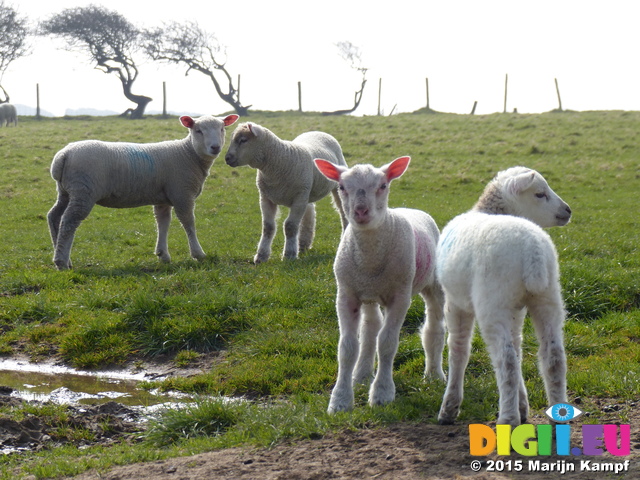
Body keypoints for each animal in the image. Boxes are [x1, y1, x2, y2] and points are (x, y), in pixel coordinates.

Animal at [46, 113, 238, 270]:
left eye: (222, 128)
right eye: (198, 131)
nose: (215, 147)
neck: (188, 153)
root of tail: (63, 155)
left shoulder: (163, 198)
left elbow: (163, 222)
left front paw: (163, 255)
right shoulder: (182, 193)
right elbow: (188, 222)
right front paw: (198, 254)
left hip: (66, 191)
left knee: (54, 216)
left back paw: (62, 257)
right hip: (83, 192)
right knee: (68, 222)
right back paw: (61, 262)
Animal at [224, 120, 348, 262]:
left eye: (243, 140)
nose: (227, 158)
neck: (280, 162)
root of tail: (318, 131)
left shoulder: (299, 198)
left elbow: (290, 226)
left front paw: (289, 255)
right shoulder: (266, 197)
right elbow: (268, 227)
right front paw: (261, 256)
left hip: (330, 187)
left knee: (343, 213)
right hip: (306, 190)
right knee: (310, 211)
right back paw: (303, 243)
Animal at [314, 157, 444, 412]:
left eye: (383, 185)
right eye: (342, 187)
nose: (360, 211)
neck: (370, 257)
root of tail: (409, 209)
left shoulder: (400, 296)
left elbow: (387, 343)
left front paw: (382, 393)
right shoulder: (346, 295)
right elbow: (347, 347)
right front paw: (340, 399)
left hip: (432, 284)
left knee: (435, 327)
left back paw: (434, 375)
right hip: (369, 294)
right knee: (370, 328)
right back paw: (362, 374)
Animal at [438, 166, 572, 428]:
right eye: (539, 194)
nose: (567, 211)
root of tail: (532, 251)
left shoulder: (455, 302)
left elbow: (458, 349)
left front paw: (449, 407)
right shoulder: (516, 309)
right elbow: (519, 347)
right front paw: (523, 406)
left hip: (493, 303)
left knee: (506, 360)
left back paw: (508, 418)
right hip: (547, 297)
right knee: (553, 357)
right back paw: (557, 417)